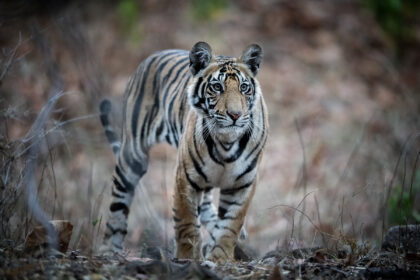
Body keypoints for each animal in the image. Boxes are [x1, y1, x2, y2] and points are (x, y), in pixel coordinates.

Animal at [100, 41, 268, 262]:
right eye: (217, 87)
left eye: (244, 88)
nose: (235, 115)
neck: (226, 143)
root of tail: (152, 55)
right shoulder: (185, 178)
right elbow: (187, 224)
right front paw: (188, 259)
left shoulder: (243, 184)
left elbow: (229, 226)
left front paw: (219, 258)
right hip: (132, 155)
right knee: (118, 204)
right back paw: (110, 251)